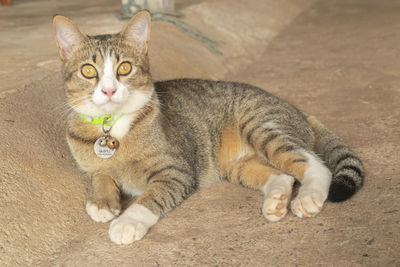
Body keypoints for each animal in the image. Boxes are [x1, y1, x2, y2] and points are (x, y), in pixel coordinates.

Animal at [53, 9, 366, 245]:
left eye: (125, 68)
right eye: (88, 71)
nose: (108, 90)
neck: (111, 126)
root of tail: (298, 111)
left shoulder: (176, 171)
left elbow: (150, 197)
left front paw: (127, 222)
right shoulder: (93, 165)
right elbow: (100, 175)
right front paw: (103, 201)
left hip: (260, 126)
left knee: (314, 164)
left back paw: (308, 198)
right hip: (236, 166)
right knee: (283, 176)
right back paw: (276, 201)